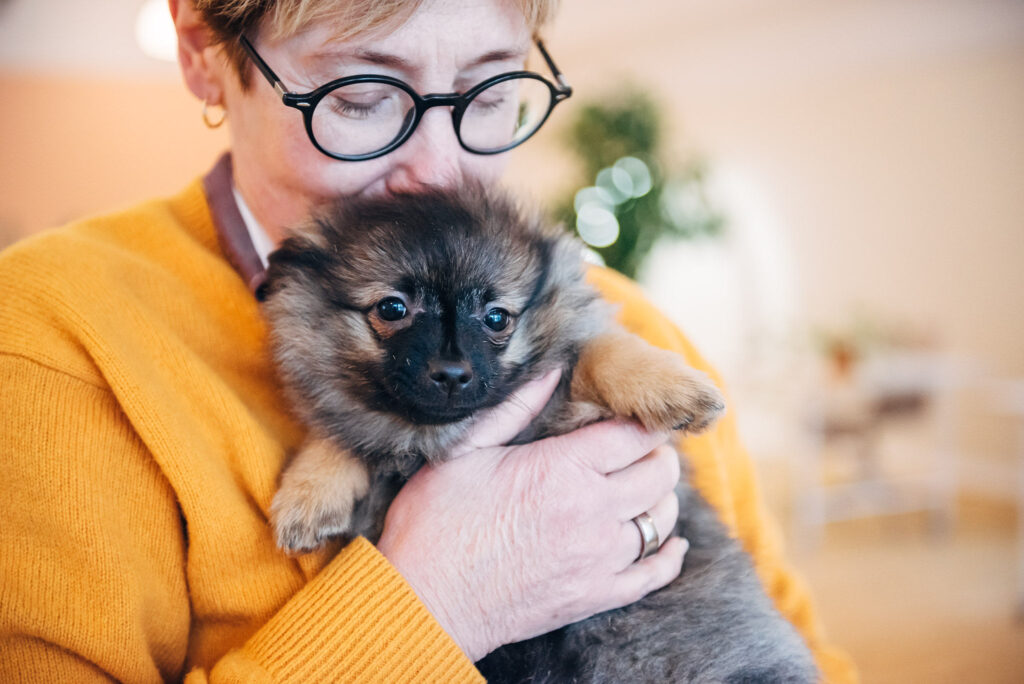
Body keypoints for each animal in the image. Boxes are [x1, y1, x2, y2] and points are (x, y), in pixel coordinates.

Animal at [258, 185, 815, 684]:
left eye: (496, 317)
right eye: (393, 309)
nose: (453, 373)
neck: (434, 438)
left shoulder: (570, 401)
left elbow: (602, 351)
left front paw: (675, 386)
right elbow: (337, 431)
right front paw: (309, 495)